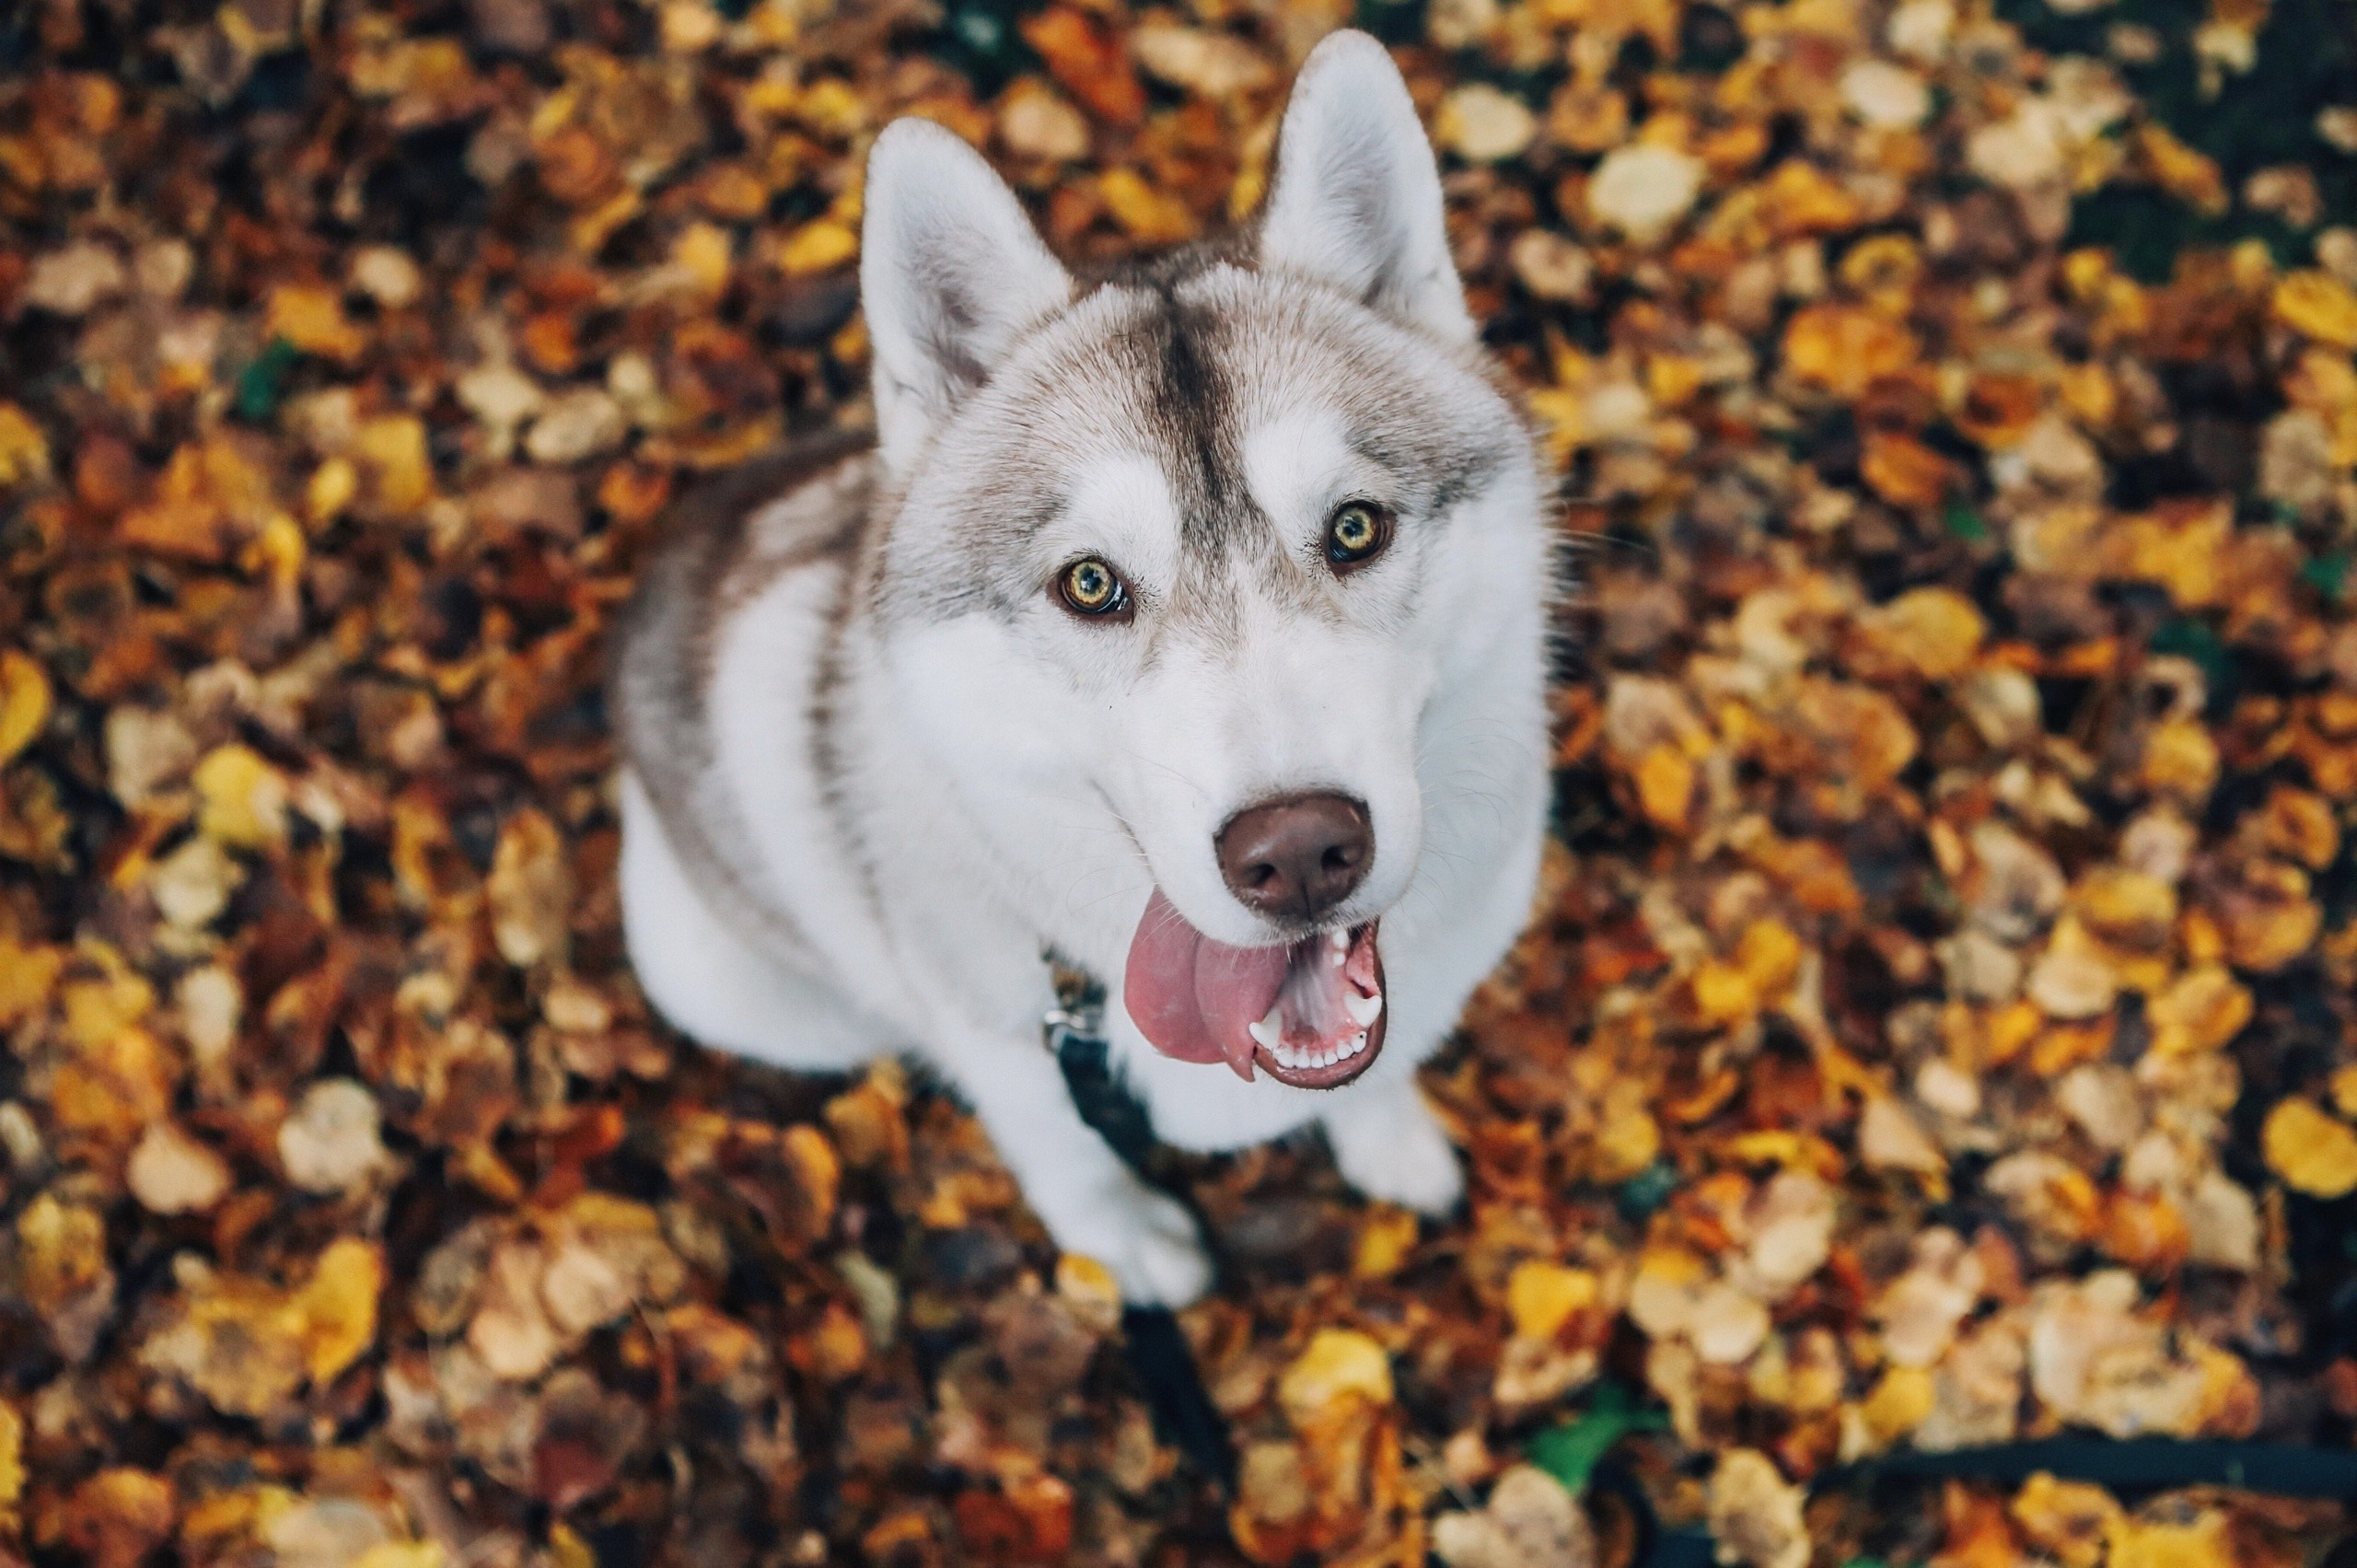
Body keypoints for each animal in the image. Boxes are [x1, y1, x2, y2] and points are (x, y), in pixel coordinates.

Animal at [617, 30, 1555, 1301]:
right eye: (1092, 584)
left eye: (1355, 527)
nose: (1297, 851)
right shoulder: (1003, 1044)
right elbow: (1063, 1153)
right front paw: (1127, 1244)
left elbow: (1381, 1066)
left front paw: (1390, 1139)